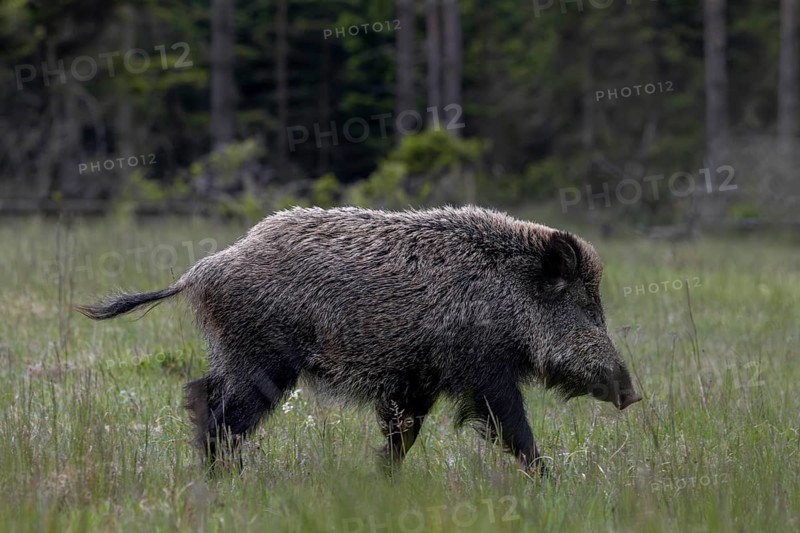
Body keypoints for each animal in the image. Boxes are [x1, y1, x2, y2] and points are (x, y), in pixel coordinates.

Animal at [76, 206, 641, 475]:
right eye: (586, 308)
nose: (632, 393)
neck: (506, 291)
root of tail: (200, 271)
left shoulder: (415, 382)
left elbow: (402, 437)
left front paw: (383, 481)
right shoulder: (482, 372)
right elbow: (515, 430)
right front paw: (549, 482)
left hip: (238, 355)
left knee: (200, 394)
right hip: (262, 360)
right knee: (221, 414)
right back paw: (224, 478)